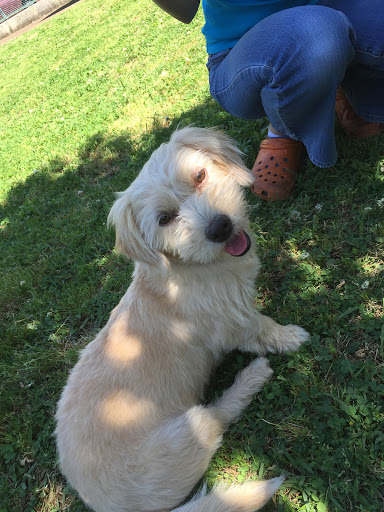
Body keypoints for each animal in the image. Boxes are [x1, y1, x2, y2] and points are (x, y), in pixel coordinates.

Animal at [56, 127, 308, 512]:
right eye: (164, 219)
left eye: (200, 176)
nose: (220, 227)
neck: (189, 266)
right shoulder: (237, 323)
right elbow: (263, 327)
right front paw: (290, 336)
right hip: (192, 425)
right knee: (220, 415)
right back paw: (251, 378)